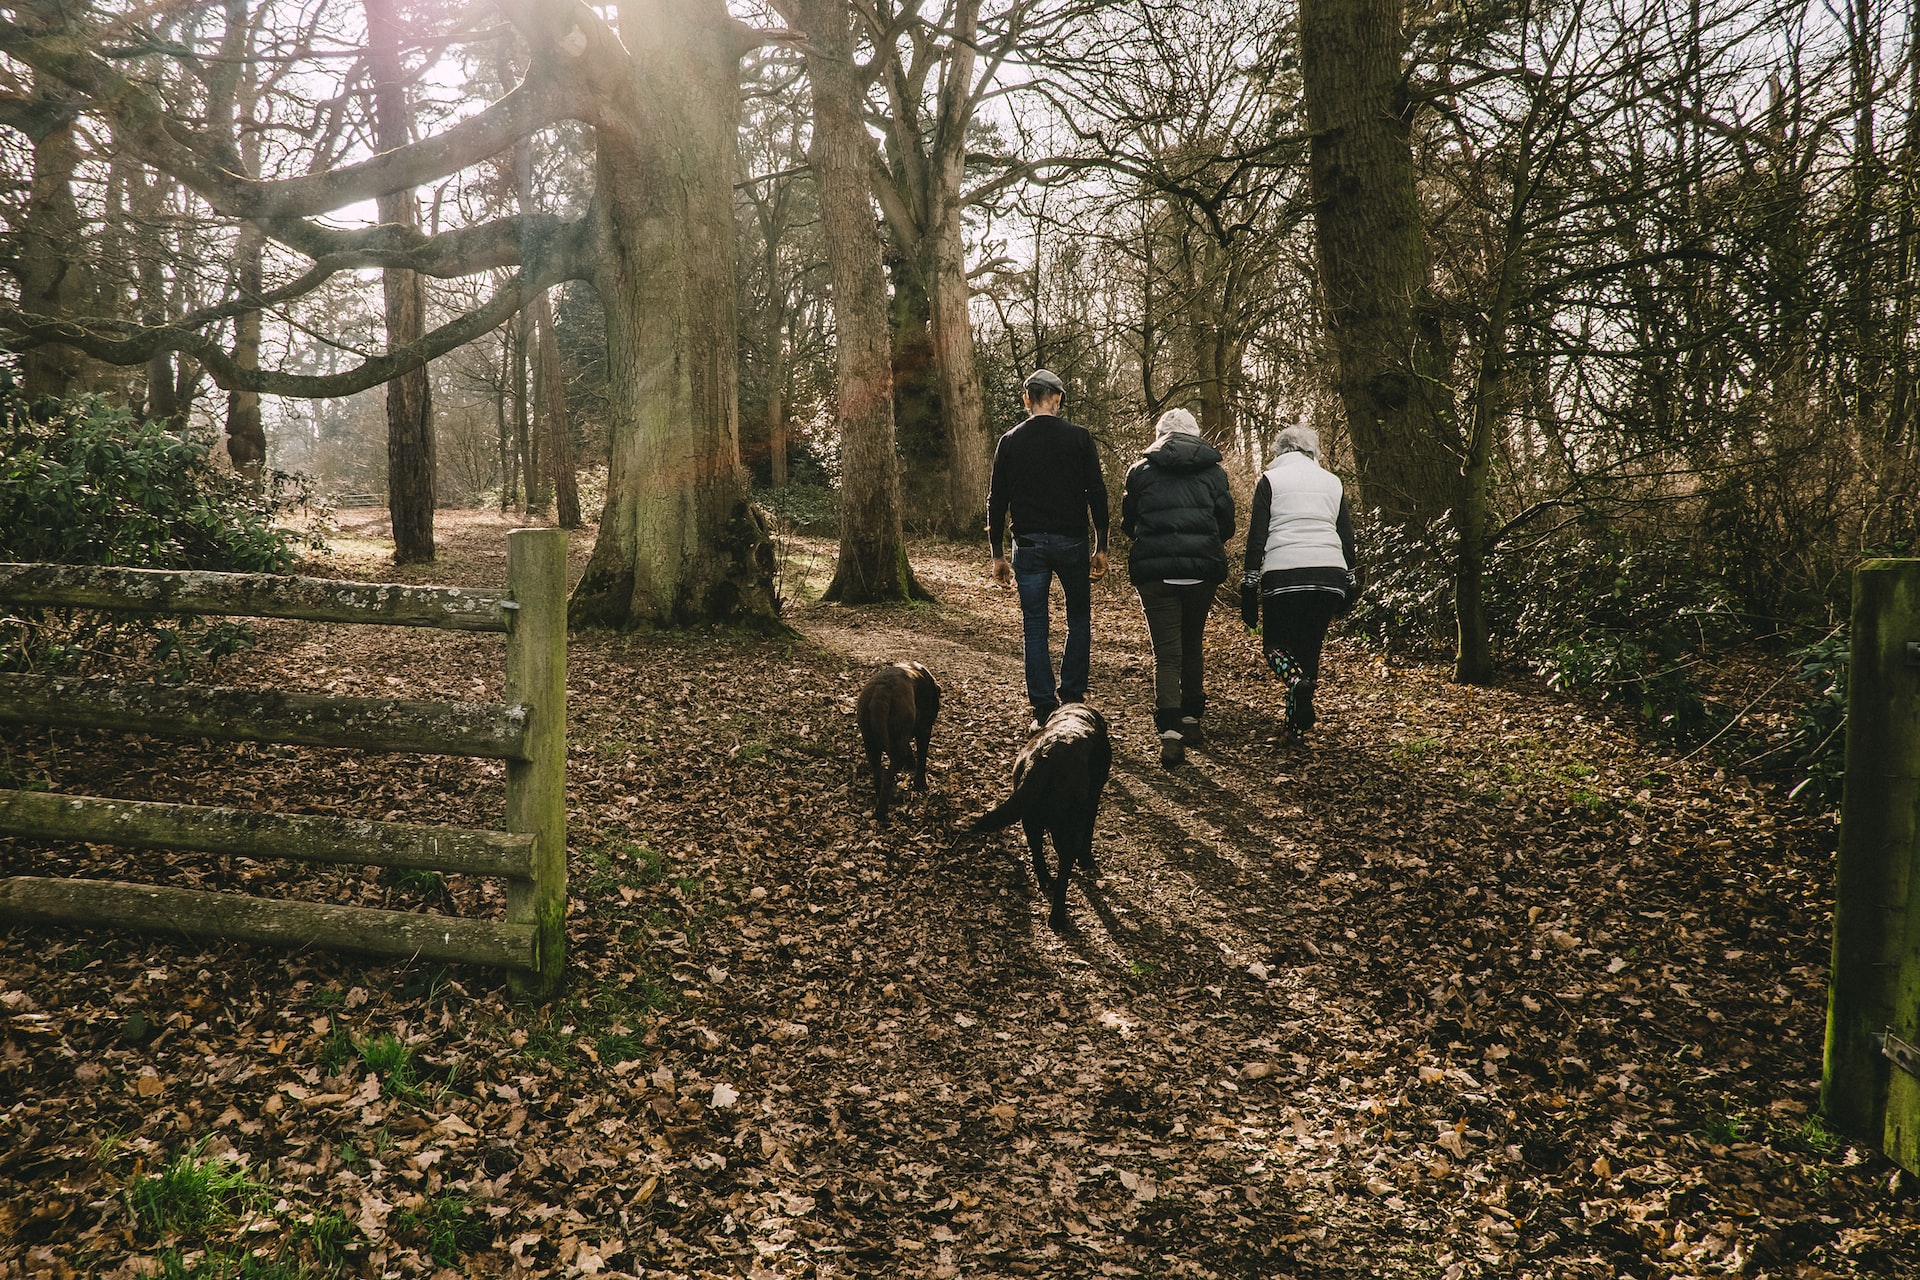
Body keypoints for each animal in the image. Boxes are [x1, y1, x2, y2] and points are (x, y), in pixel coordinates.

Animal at [860, 660, 940, 821]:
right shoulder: (924, 730)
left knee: (877, 771)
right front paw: (920, 784)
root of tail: (880, 692)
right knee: (887, 777)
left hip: (871, 745)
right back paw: (881, 812)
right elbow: (922, 758)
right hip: (896, 750)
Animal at [975, 706, 1113, 936]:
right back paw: (1057, 917)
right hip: (1066, 827)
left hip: (1031, 821)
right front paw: (1086, 861)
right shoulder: (1092, 801)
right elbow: (1088, 834)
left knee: (1037, 853)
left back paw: (1046, 881)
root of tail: (1044, 758)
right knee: (1063, 870)